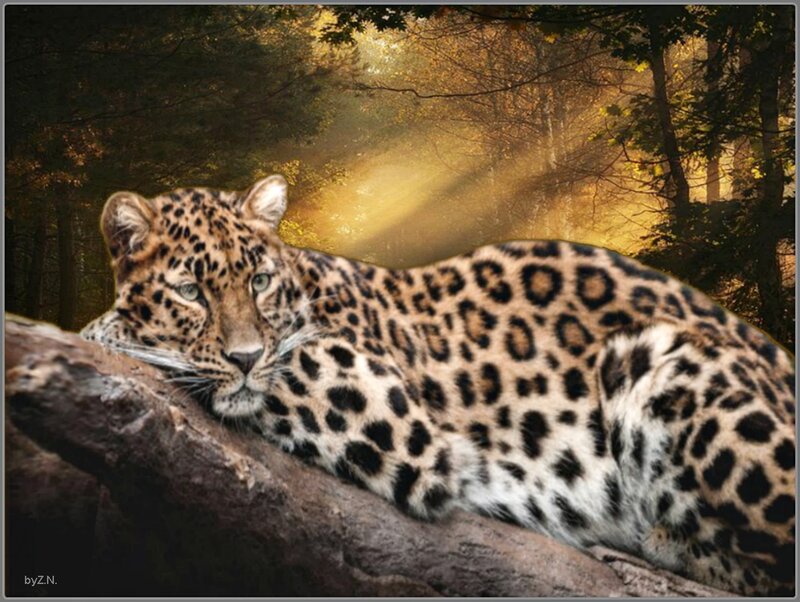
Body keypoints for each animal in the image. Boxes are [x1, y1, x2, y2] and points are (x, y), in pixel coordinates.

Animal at [82, 174, 796, 596]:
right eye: (189, 291)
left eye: (257, 281)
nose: (245, 357)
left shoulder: (380, 402)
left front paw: (111, 332)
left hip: (657, 362)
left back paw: (664, 541)